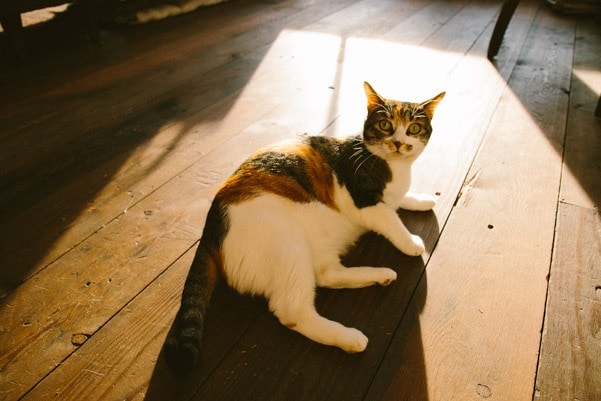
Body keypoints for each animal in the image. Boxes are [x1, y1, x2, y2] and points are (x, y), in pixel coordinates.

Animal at [162, 81, 442, 368]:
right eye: (385, 125)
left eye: (414, 128)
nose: (398, 143)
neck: (395, 167)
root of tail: (210, 228)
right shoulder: (366, 202)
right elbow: (391, 220)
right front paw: (412, 243)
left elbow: (400, 199)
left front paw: (421, 200)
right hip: (288, 244)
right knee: (292, 311)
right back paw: (350, 338)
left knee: (327, 275)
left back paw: (380, 275)